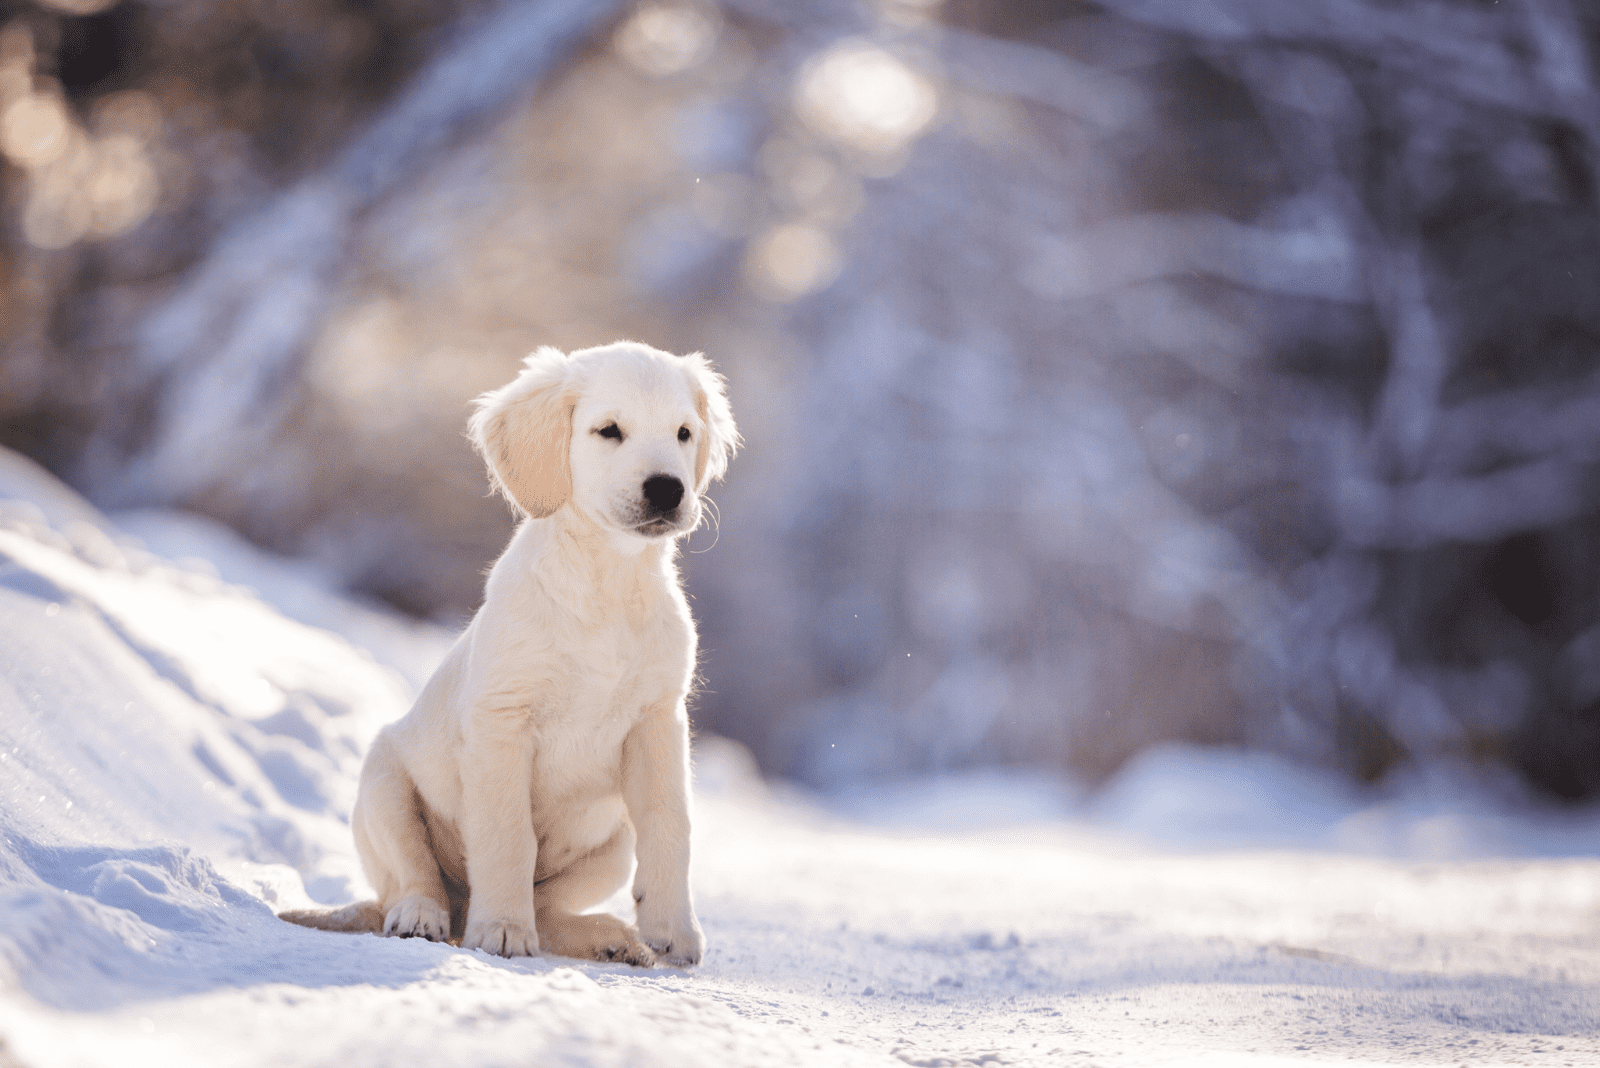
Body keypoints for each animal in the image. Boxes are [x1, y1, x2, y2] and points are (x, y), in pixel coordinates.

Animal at [283, 342, 736, 965]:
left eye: (684, 433)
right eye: (609, 431)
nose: (668, 488)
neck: (605, 582)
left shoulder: (657, 722)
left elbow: (671, 825)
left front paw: (674, 933)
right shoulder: (502, 721)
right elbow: (507, 836)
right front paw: (500, 929)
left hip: (613, 843)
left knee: (548, 910)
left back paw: (610, 939)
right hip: (382, 786)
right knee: (413, 879)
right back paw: (425, 916)